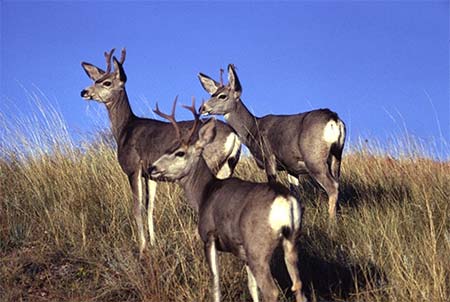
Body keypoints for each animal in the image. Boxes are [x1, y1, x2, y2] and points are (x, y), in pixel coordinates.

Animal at [81, 48, 243, 258]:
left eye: (106, 82)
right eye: (96, 79)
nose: (84, 92)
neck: (125, 129)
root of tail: (234, 135)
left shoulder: (133, 168)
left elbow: (137, 207)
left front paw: (142, 248)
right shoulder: (150, 174)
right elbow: (150, 208)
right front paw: (153, 242)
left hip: (211, 161)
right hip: (227, 166)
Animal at [149, 99, 308, 302]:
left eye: (179, 153)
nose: (152, 168)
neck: (204, 193)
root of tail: (285, 200)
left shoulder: (209, 236)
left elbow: (215, 283)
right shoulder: (242, 250)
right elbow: (251, 286)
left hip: (257, 246)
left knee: (271, 291)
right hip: (291, 241)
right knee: (298, 286)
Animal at [199, 65, 346, 222]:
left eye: (222, 96)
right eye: (212, 94)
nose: (202, 108)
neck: (253, 129)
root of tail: (334, 119)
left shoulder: (269, 157)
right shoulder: (292, 168)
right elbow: (296, 195)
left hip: (314, 159)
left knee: (333, 187)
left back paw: (332, 223)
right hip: (336, 155)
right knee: (337, 182)